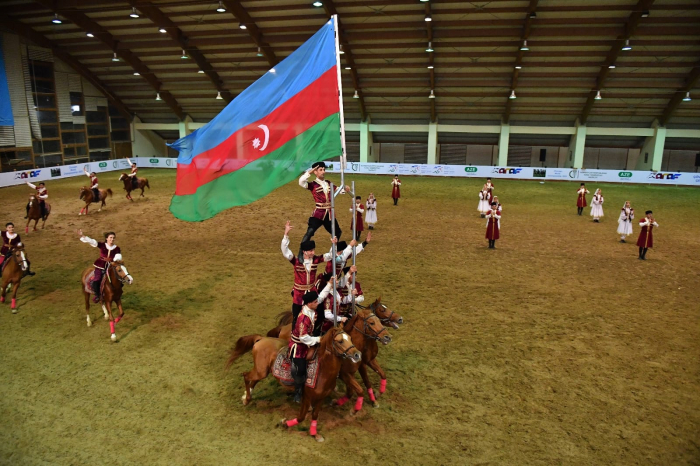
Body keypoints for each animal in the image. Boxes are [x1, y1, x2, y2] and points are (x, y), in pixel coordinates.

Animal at [227, 326, 360, 442]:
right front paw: (284, 423)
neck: (323, 370)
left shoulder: (321, 397)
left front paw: (315, 434)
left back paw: (246, 396)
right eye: (340, 341)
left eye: (350, 338)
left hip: (263, 371)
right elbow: (301, 417)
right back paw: (246, 399)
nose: (357, 354)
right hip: (260, 371)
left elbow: (315, 415)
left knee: (252, 380)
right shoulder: (307, 397)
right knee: (245, 375)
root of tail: (261, 338)